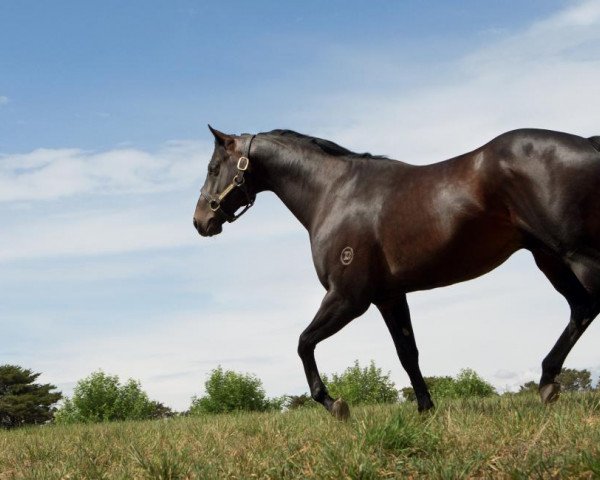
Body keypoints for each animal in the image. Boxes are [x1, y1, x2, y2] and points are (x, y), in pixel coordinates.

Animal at [193, 127, 600, 420]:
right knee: (581, 309)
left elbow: (303, 343)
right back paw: (547, 382)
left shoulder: (348, 298)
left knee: (588, 305)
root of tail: (589, 145)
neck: (333, 193)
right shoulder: (389, 297)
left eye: (213, 168)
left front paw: (334, 404)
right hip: (549, 258)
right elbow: (408, 353)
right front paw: (425, 409)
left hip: (576, 255)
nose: (200, 221)